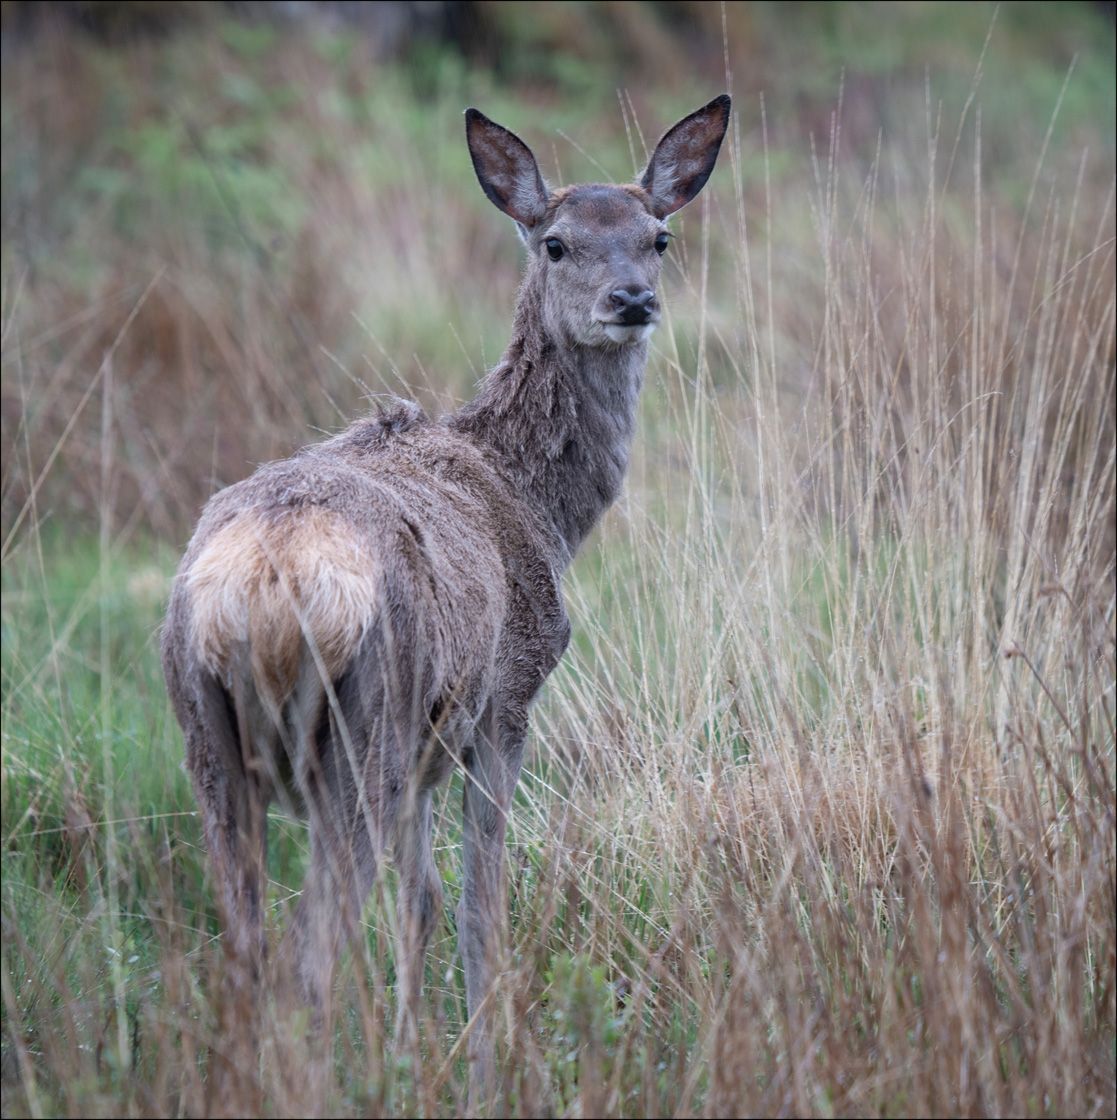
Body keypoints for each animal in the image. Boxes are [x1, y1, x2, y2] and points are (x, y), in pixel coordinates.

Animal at [161, 94, 730, 1106]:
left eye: (658, 237)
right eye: (554, 242)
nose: (630, 300)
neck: (538, 506)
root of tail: (262, 579)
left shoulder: (432, 748)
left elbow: (421, 905)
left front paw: (410, 1055)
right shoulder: (506, 700)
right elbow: (478, 908)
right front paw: (480, 1072)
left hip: (211, 739)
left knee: (245, 952)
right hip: (362, 732)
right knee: (307, 958)